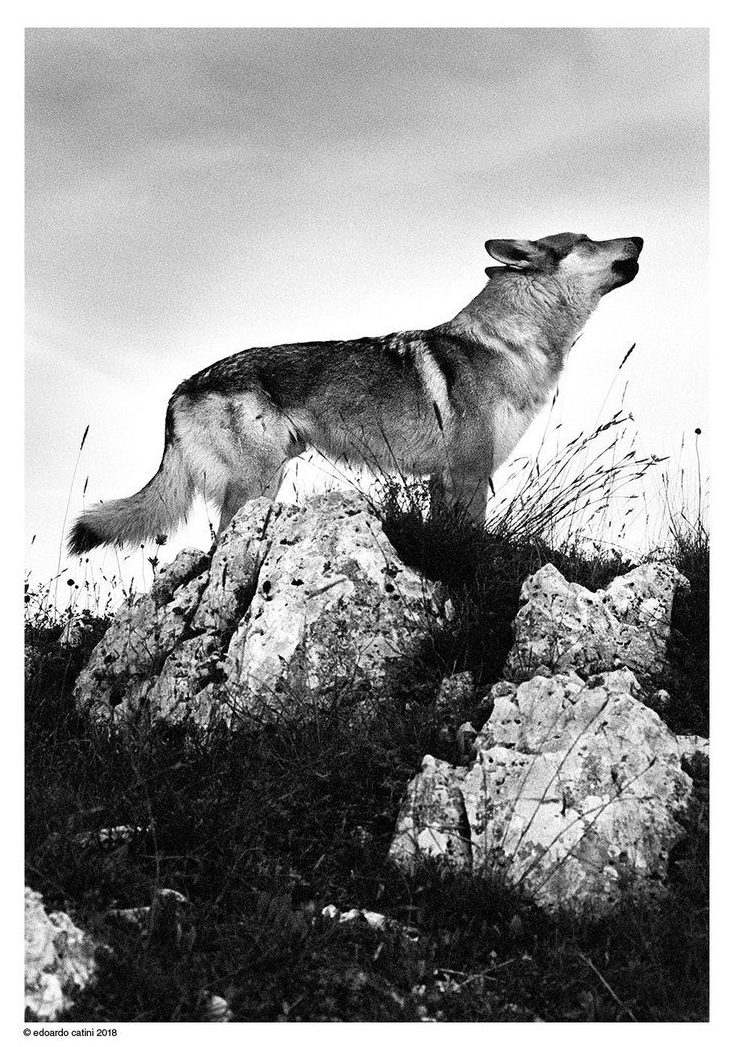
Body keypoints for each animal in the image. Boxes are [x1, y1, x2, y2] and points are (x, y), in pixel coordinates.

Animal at [70, 231, 644, 557]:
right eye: (587, 236)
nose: (639, 237)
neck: (509, 343)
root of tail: (179, 391)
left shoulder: (444, 478)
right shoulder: (469, 472)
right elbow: (472, 541)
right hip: (257, 488)